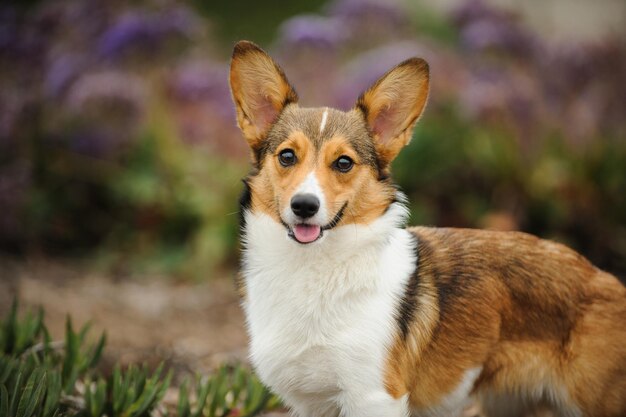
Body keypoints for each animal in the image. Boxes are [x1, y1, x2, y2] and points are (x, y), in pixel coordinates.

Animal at [228, 39, 624, 416]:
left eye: (343, 163)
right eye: (287, 156)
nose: (304, 206)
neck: (314, 267)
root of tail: (606, 279)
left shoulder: (374, 398)